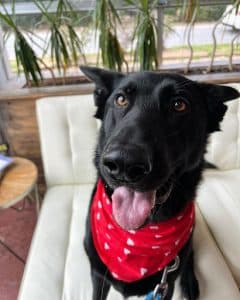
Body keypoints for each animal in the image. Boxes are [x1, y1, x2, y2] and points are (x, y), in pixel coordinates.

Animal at [81, 66, 240, 300]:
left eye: (179, 105)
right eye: (120, 99)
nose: (124, 163)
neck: (140, 234)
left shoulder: (166, 285)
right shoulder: (98, 277)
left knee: (189, 257)